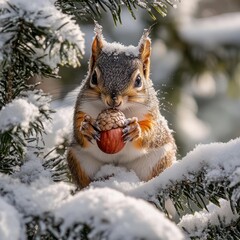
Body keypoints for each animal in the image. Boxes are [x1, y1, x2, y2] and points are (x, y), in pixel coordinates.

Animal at [67, 23, 176, 189]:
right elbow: (77, 126)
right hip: (78, 158)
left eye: (138, 80)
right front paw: (87, 127)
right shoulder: (82, 107)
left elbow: (151, 132)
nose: (113, 100)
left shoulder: (151, 113)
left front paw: (135, 130)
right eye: (93, 77)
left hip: (159, 157)